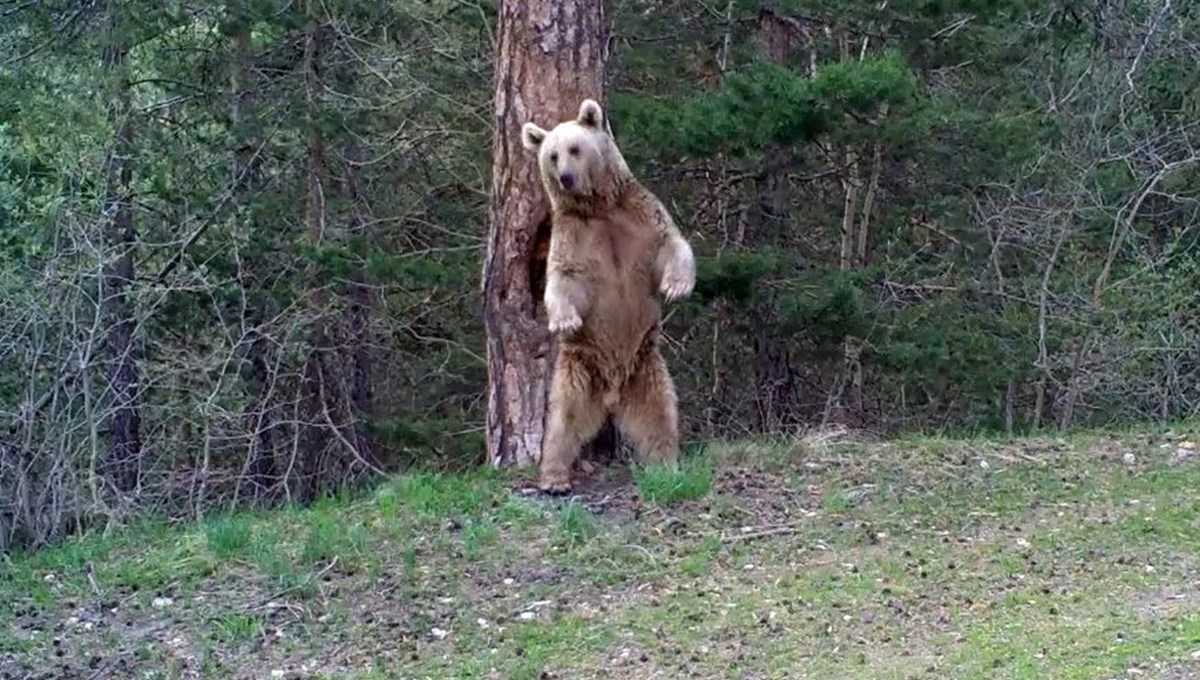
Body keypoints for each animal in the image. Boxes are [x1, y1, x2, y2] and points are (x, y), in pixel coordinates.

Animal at [520, 97, 700, 494]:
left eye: (574, 148)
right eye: (552, 155)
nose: (566, 178)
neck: (598, 206)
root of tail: (614, 391)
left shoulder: (639, 216)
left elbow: (671, 244)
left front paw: (676, 286)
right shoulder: (573, 235)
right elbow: (564, 278)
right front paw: (563, 319)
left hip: (646, 368)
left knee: (660, 414)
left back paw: (666, 465)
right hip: (580, 369)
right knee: (564, 421)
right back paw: (554, 476)